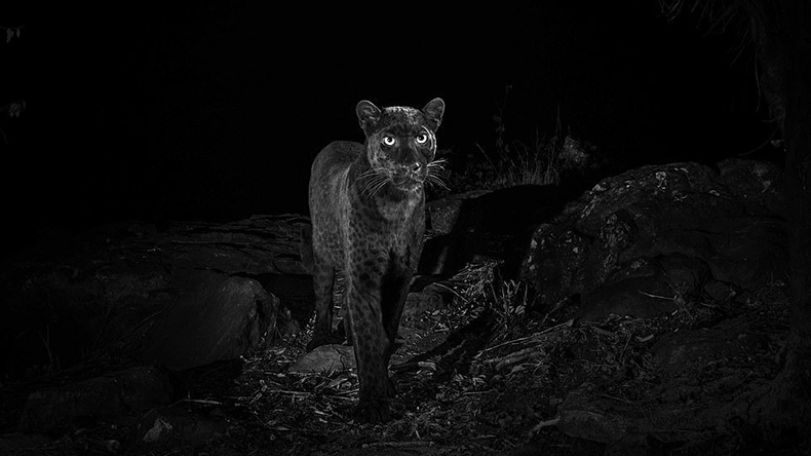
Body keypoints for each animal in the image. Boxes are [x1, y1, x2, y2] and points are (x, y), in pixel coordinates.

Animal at [308, 97, 446, 422]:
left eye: (422, 137)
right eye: (389, 140)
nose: (409, 166)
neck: (396, 204)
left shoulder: (400, 276)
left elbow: (387, 331)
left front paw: (386, 386)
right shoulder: (364, 274)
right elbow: (370, 334)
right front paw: (371, 404)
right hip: (322, 251)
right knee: (324, 293)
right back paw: (321, 337)